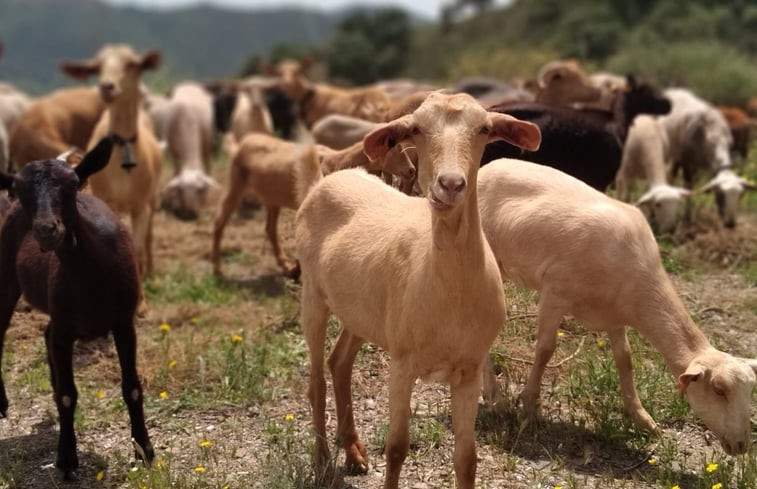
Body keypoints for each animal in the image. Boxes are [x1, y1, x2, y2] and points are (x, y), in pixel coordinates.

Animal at [0, 136, 154, 476]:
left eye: (72, 185)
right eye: (20, 190)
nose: (46, 230)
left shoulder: (124, 323)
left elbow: (132, 388)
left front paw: (144, 451)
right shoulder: (65, 329)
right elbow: (69, 395)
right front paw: (67, 458)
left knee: (44, 334)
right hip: (5, 278)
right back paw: (2, 403)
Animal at [62, 43, 164, 274]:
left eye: (132, 64)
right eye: (96, 67)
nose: (107, 87)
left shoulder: (141, 204)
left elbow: (138, 250)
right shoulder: (106, 199)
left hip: (152, 196)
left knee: (150, 234)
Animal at [296, 92, 544, 488]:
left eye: (484, 129)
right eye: (415, 129)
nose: (450, 184)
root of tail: (324, 182)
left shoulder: (470, 367)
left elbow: (467, 459)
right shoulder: (402, 362)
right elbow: (397, 448)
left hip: (363, 309)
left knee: (339, 362)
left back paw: (353, 452)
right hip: (313, 296)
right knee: (316, 380)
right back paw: (322, 462)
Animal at [478, 159, 756, 454]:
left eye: (751, 391)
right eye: (719, 390)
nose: (741, 445)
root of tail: (489, 167)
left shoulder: (613, 315)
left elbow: (625, 359)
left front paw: (642, 419)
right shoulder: (555, 292)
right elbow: (545, 350)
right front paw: (529, 406)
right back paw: (495, 398)